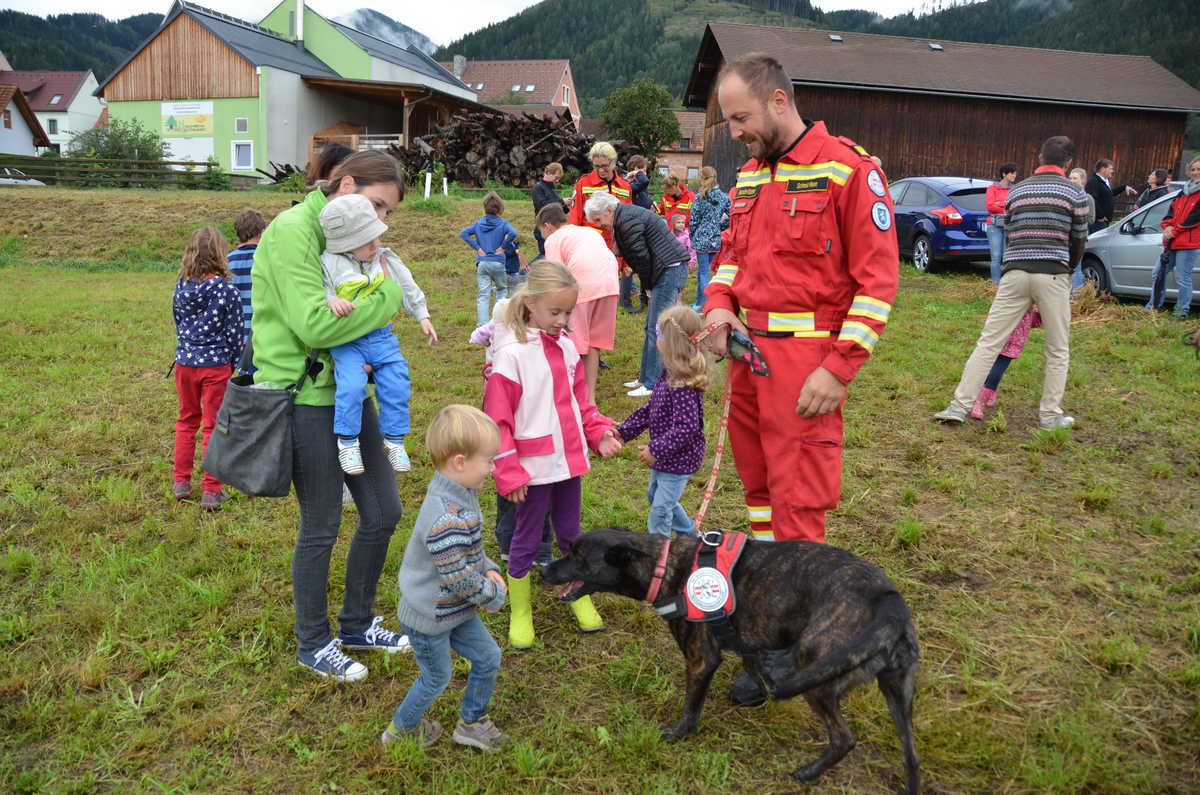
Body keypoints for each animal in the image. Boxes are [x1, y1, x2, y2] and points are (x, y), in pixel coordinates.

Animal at [544, 525, 916, 792]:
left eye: (577, 555)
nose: (544, 569)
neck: (664, 565)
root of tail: (888, 599)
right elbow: (752, 666)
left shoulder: (701, 658)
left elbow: (691, 705)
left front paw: (679, 733)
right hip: (898, 693)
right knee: (911, 756)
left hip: (819, 677)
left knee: (844, 738)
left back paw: (808, 773)